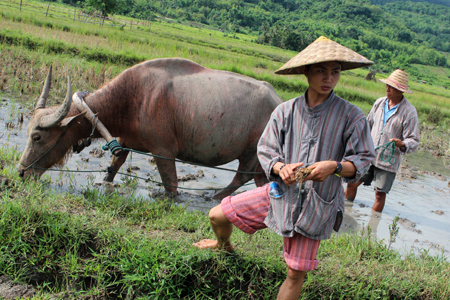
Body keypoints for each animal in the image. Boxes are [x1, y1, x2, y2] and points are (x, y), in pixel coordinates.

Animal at [20, 58, 284, 199]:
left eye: (37, 136)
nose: (22, 172)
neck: (133, 98)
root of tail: (278, 100)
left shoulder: (163, 151)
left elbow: (170, 182)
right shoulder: (124, 140)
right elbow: (115, 163)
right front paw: (105, 181)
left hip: (252, 153)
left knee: (242, 177)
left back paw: (216, 196)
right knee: (261, 180)